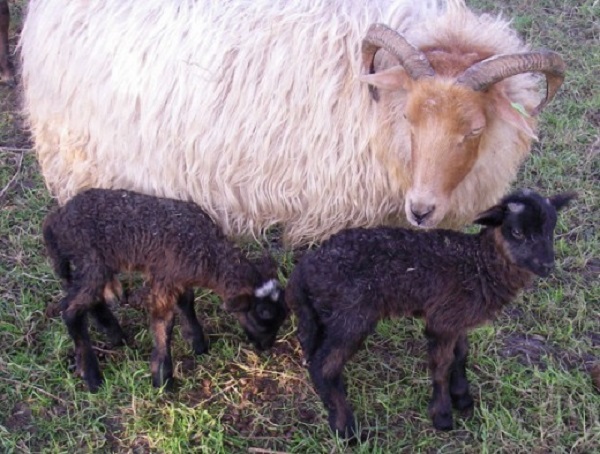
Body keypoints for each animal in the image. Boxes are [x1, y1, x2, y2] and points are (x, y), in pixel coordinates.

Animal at [43, 188, 288, 390]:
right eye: (261, 316)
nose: (266, 346)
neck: (208, 251)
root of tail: (54, 222)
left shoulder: (178, 278)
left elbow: (187, 303)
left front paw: (197, 343)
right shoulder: (164, 278)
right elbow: (164, 323)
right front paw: (162, 377)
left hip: (93, 265)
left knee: (88, 300)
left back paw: (115, 335)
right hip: (91, 259)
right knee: (71, 310)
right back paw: (92, 376)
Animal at [286, 187, 576, 436]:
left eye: (551, 228)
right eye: (516, 232)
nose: (547, 266)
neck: (478, 265)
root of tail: (303, 271)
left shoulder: (458, 318)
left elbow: (461, 355)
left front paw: (462, 397)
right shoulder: (442, 322)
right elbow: (442, 365)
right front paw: (442, 414)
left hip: (322, 316)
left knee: (314, 355)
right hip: (351, 315)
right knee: (324, 365)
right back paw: (345, 426)